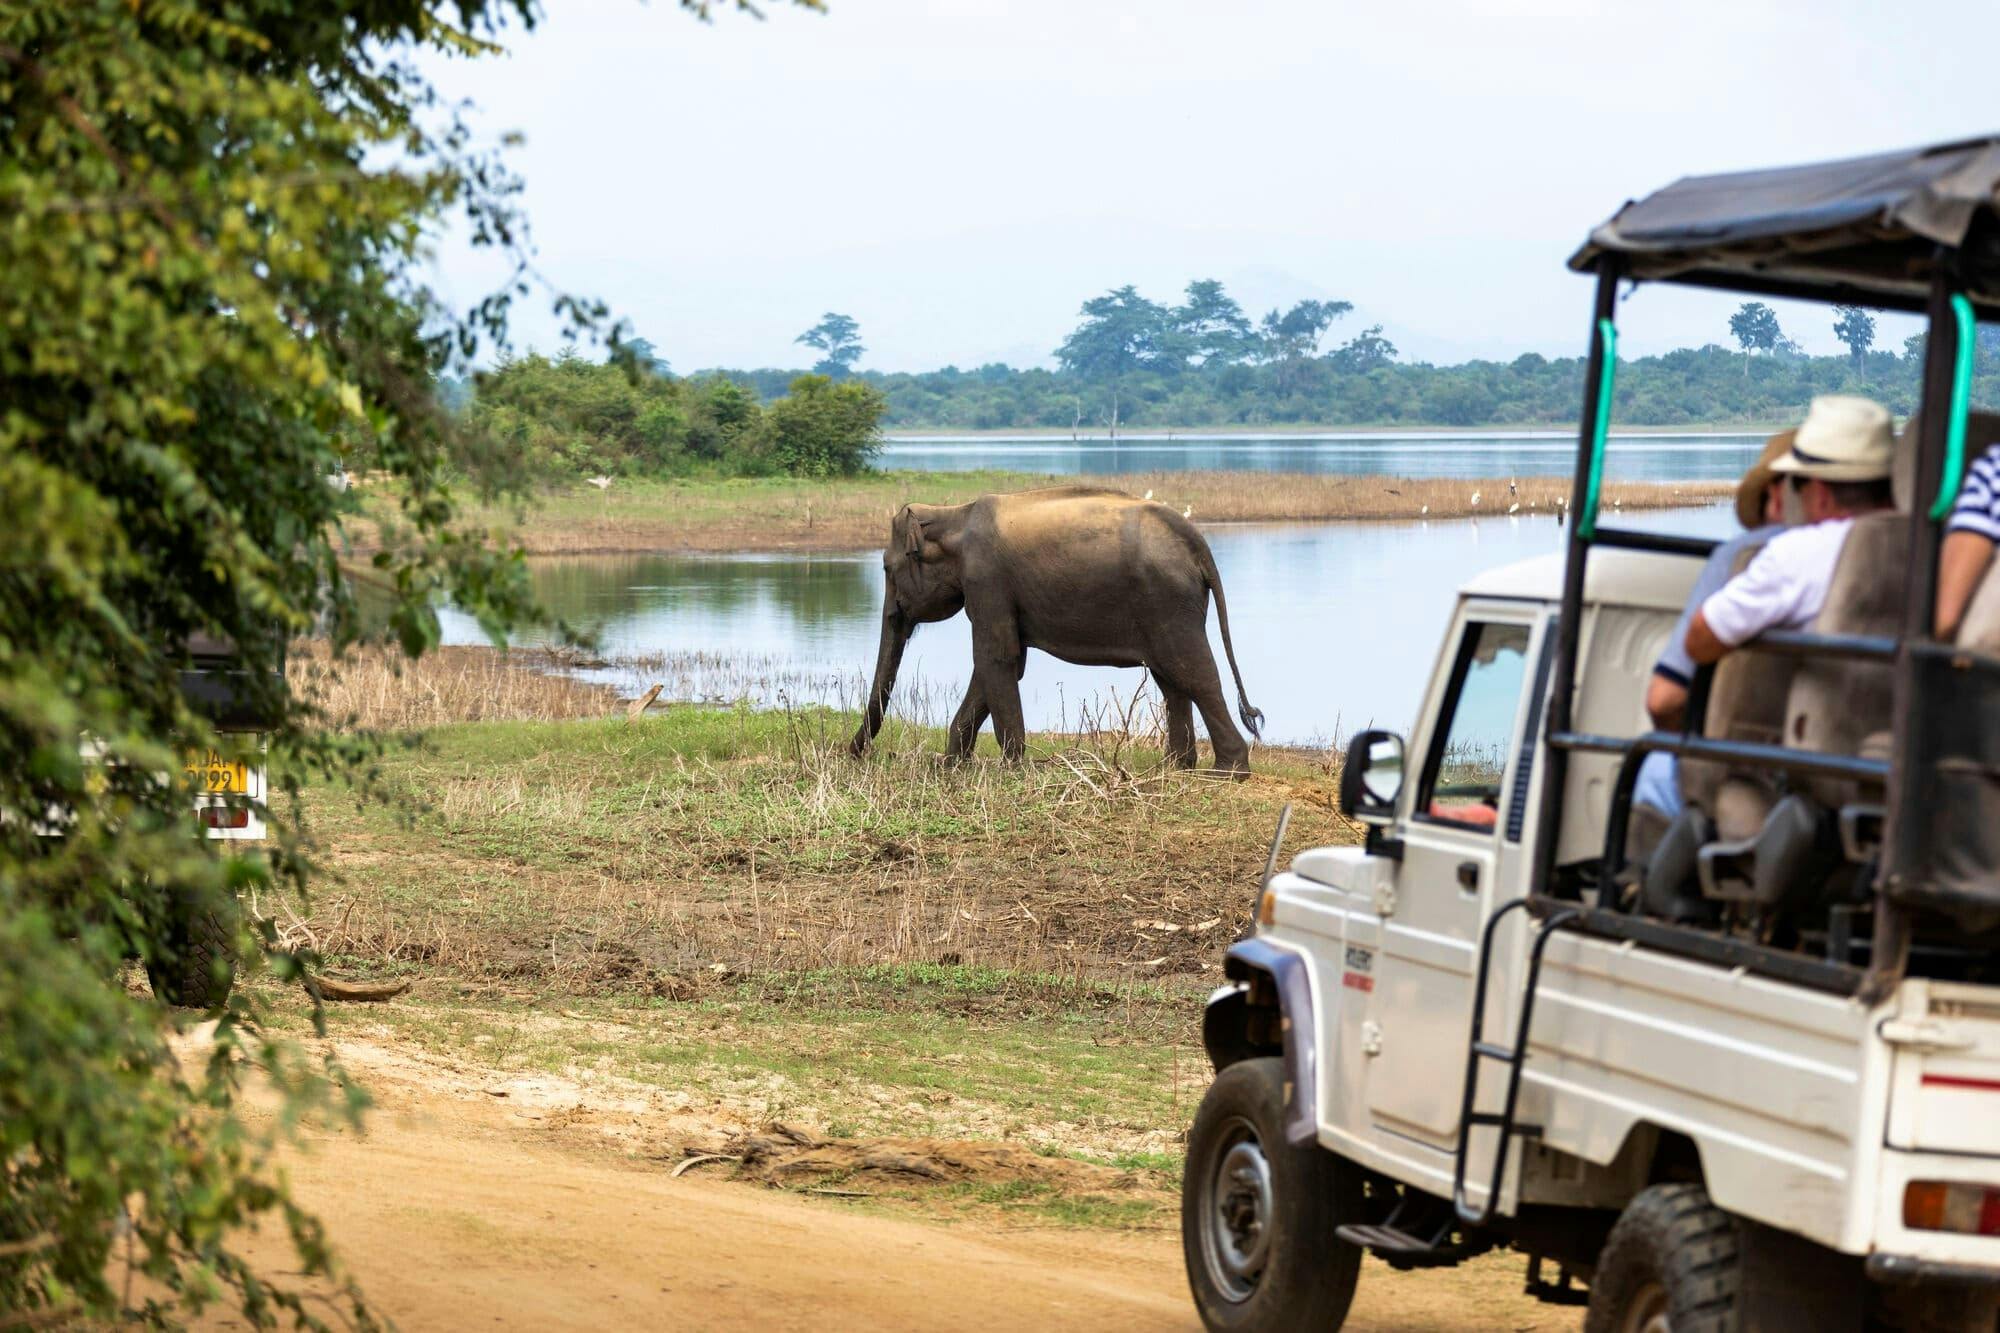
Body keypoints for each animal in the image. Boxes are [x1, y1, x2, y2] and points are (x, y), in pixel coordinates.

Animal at [848, 482, 1264, 768]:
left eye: (886, 568)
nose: (852, 753)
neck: (954, 514)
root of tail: (1198, 544)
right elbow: (1005, 663)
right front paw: (952, 765)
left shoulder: (986, 580)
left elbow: (996, 657)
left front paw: (1010, 766)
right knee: (1171, 678)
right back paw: (1175, 767)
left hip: (1167, 601)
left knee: (1193, 671)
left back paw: (1227, 771)